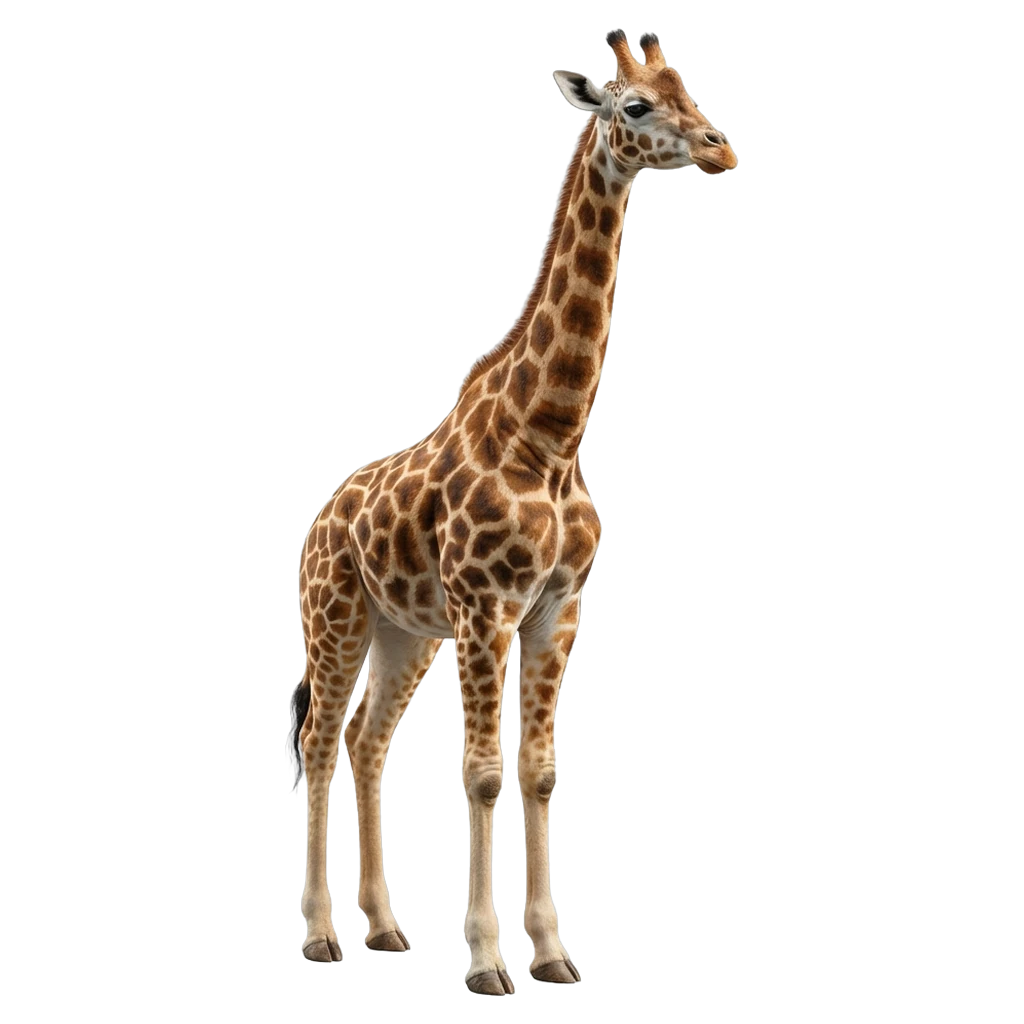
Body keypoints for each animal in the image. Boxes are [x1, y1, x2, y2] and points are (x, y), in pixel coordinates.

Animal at [289, 29, 737, 990]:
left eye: (687, 92)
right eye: (635, 106)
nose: (722, 150)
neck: (553, 435)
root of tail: (319, 519)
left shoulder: (556, 611)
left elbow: (536, 772)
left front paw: (554, 953)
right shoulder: (486, 609)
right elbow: (479, 772)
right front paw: (489, 964)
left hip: (403, 633)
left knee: (366, 743)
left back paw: (385, 930)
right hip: (335, 616)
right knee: (316, 740)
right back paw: (318, 936)